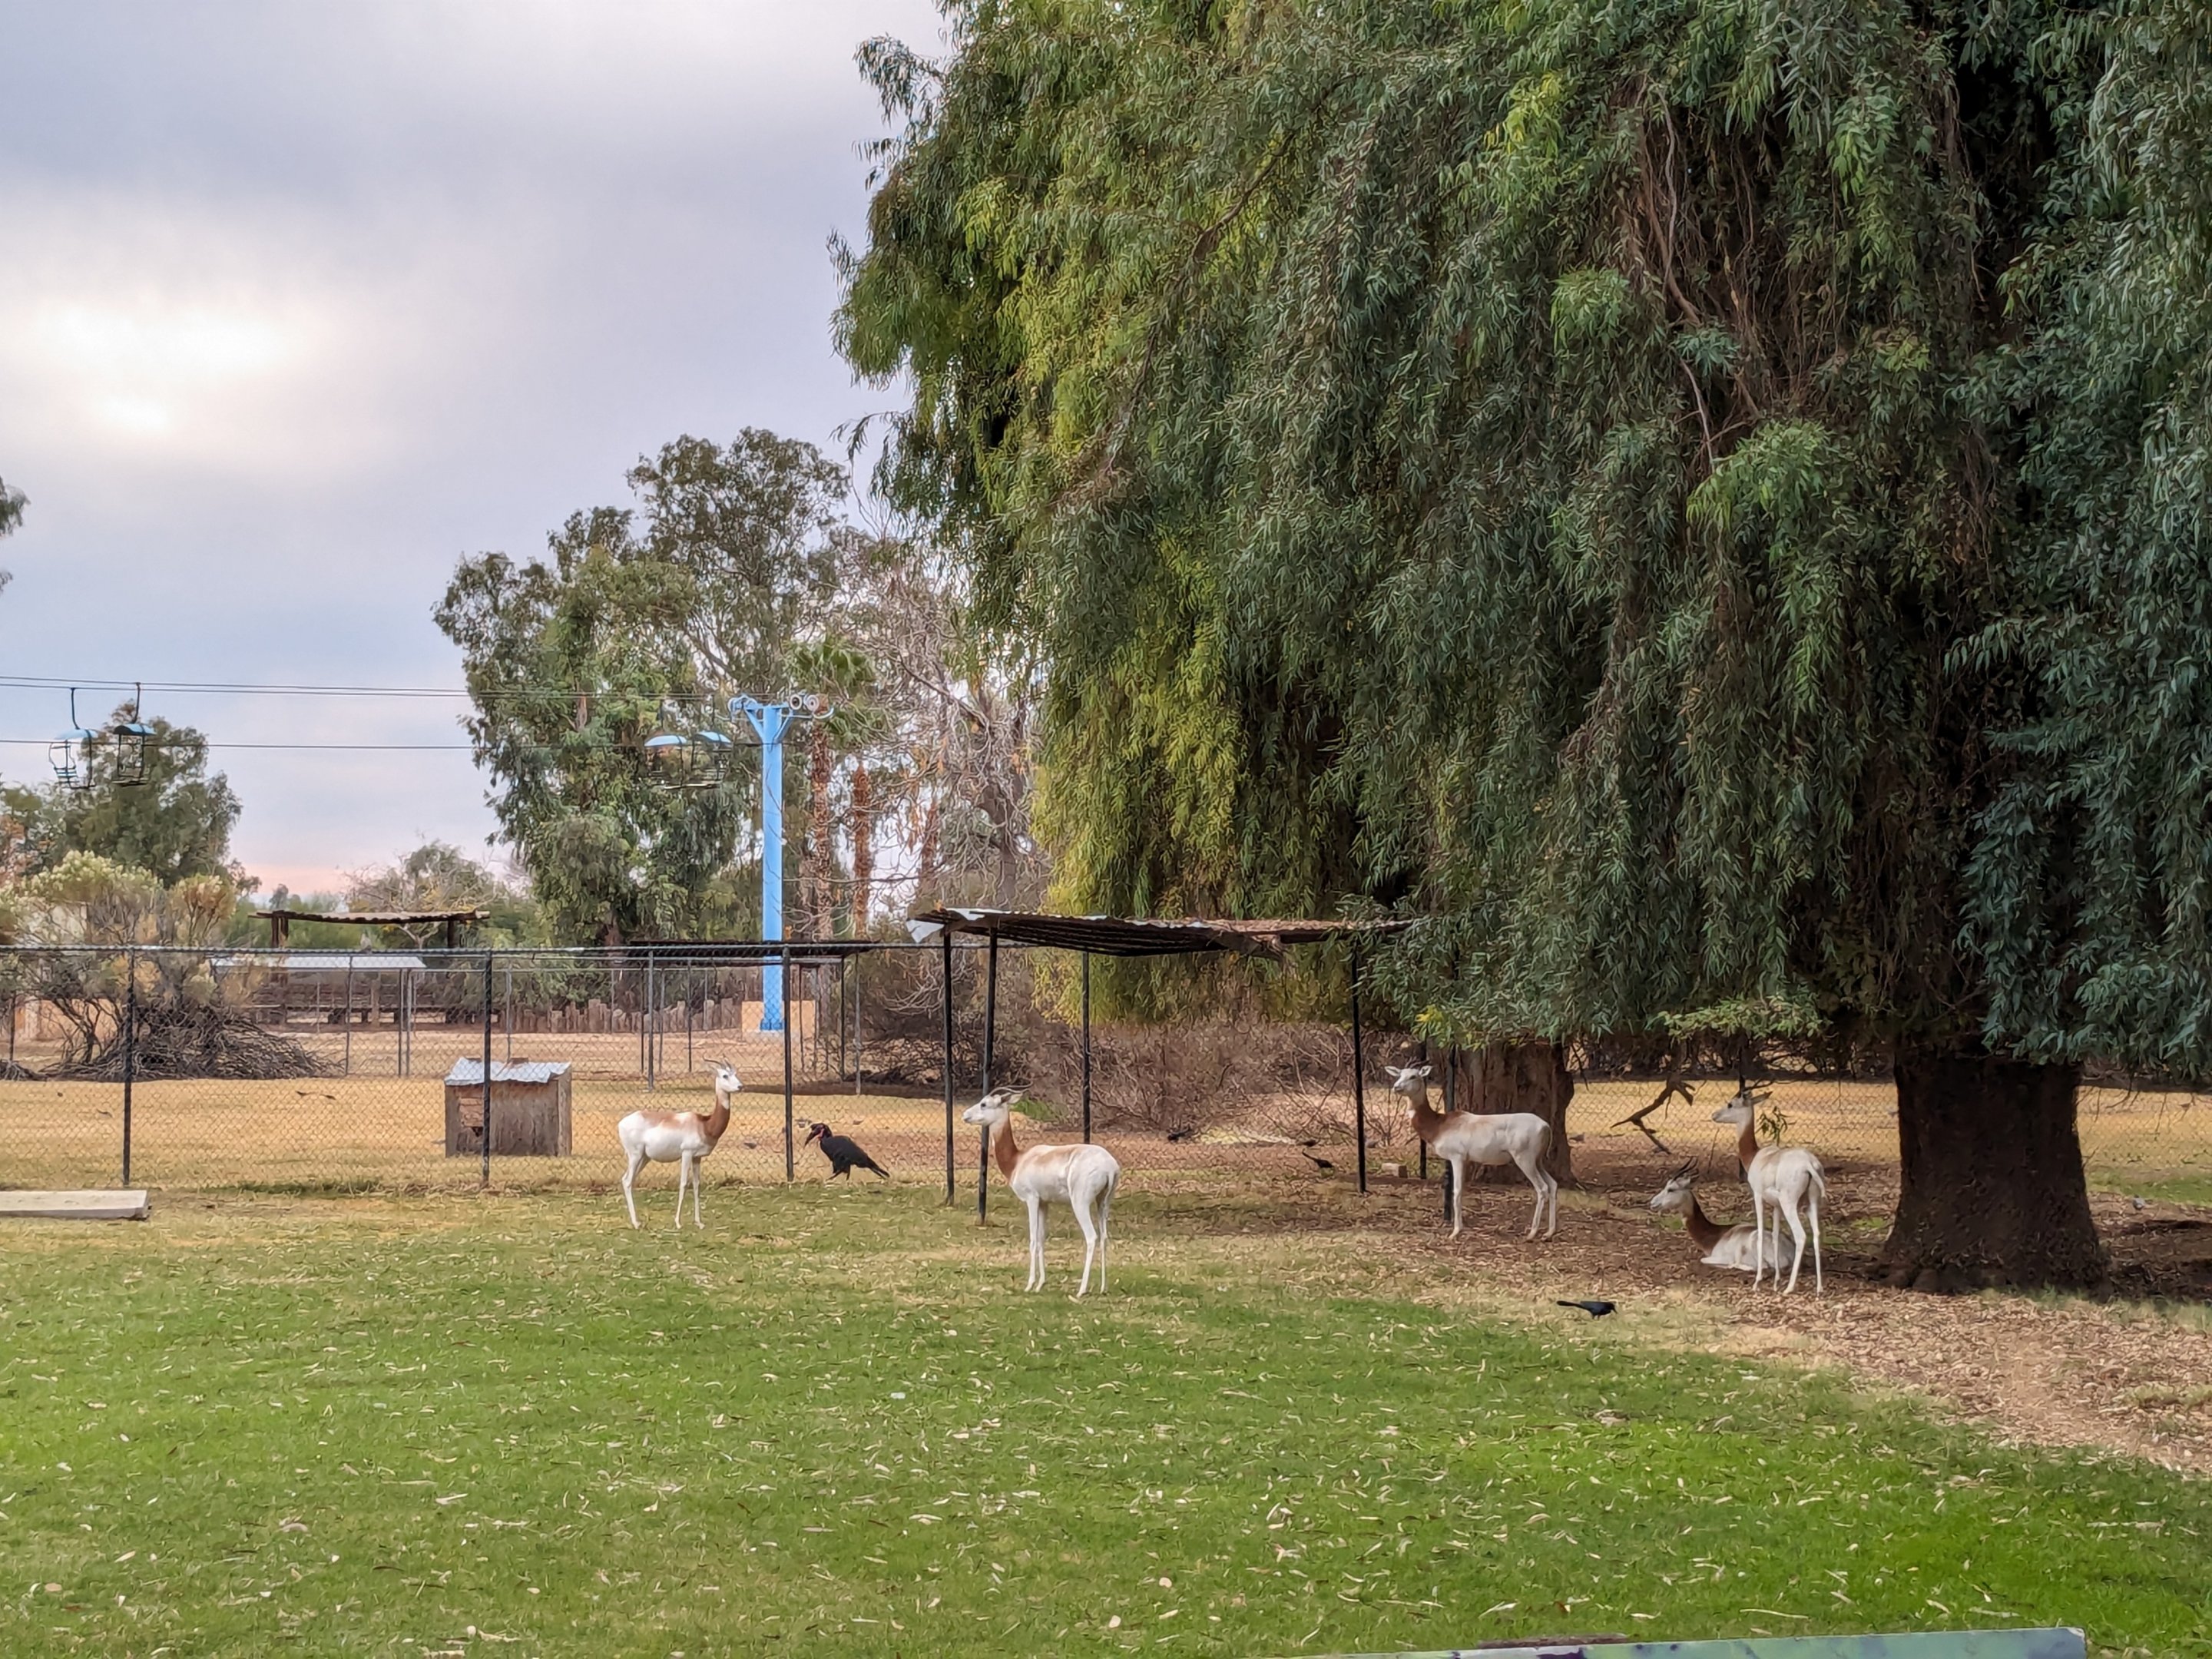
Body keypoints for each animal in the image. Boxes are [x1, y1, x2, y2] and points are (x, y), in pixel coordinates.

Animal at [618, 1060, 741, 1228]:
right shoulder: (686, 1153)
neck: (705, 1125)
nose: (740, 1086)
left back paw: (637, 1222)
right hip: (635, 1155)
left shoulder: (697, 1158)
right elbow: (683, 1183)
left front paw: (699, 1222)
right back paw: (636, 1224)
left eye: (735, 1073)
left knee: (628, 1180)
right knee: (627, 1181)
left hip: (644, 1158)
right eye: (725, 1075)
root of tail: (621, 1123)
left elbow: (696, 1185)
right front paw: (678, 1222)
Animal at [961, 1086, 1121, 1295]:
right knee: (1103, 1237)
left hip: (1080, 1203)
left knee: (1091, 1237)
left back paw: (1081, 1290)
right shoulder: (1045, 1203)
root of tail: (1109, 1166)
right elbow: (1042, 1240)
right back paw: (1102, 1287)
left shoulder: (1032, 1199)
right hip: (1103, 1203)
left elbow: (1032, 1240)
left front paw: (1030, 1284)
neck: (1017, 1160)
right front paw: (1040, 1284)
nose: (965, 1115)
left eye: (984, 1104)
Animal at [1387, 1064, 1558, 1240]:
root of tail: (1546, 1126)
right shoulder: (1466, 1160)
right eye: (1399, 1074)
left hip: (1524, 1158)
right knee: (1553, 1184)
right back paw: (1549, 1232)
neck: (1438, 1126)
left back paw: (1532, 1233)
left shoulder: (1457, 1157)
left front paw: (1455, 1232)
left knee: (1542, 1188)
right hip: (1538, 1160)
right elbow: (1461, 1190)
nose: (1396, 1087)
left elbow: (1456, 1191)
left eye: (1413, 1076)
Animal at [1711, 1089, 1825, 1293]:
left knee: (1801, 1236)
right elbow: (1774, 1236)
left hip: (1791, 1205)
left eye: (1731, 1104)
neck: (1755, 1156)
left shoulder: (1758, 1197)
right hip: (1811, 1203)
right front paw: (1776, 1281)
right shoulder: (1776, 1206)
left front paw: (1758, 1282)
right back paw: (1819, 1289)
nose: (1714, 1115)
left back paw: (1790, 1288)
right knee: (1817, 1235)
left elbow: (1760, 1233)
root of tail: (1809, 1164)